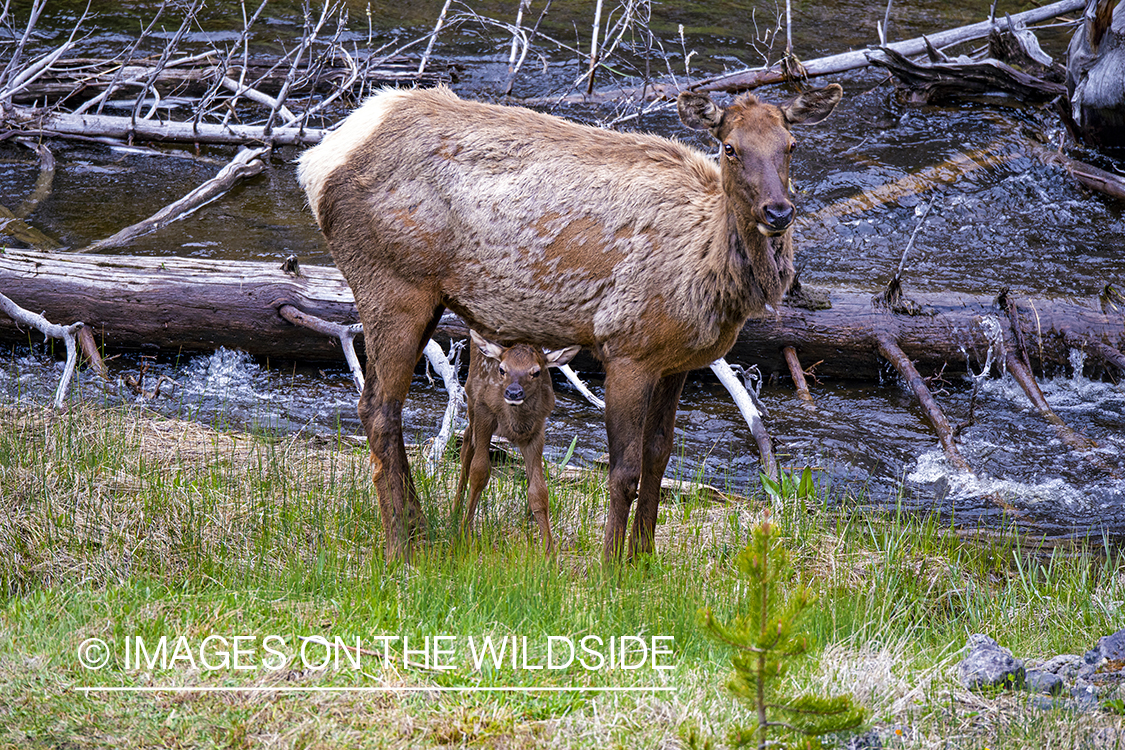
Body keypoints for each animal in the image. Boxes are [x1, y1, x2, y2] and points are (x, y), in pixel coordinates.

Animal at [452, 330, 580, 555]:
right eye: (502, 369)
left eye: (536, 372)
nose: (513, 392)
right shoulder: (484, 411)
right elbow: (479, 473)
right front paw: (464, 537)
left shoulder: (537, 430)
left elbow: (539, 491)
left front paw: (550, 554)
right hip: (470, 395)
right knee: (467, 441)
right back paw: (455, 510)